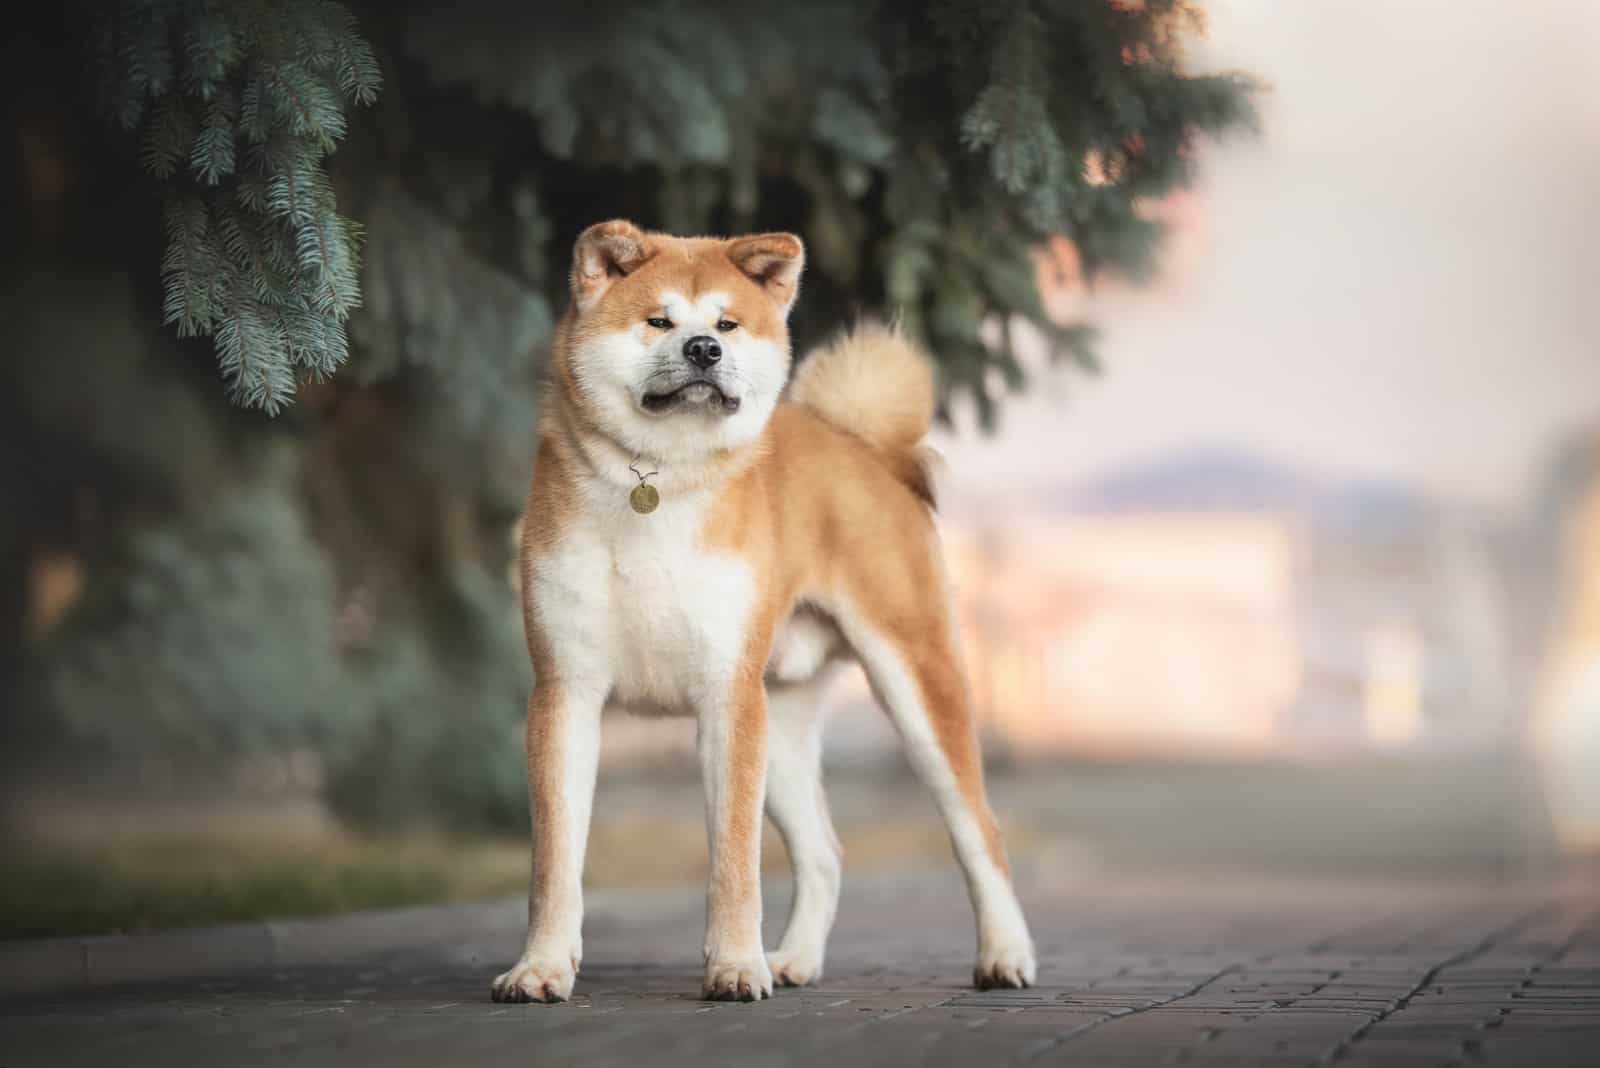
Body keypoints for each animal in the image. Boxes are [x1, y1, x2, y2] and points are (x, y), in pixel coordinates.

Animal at [489, 220, 1036, 1004]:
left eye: (726, 325)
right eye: (659, 320)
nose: (703, 351)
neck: (660, 479)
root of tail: (860, 447)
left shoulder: (728, 696)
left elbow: (734, 859)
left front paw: (734, 965)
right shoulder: (566, 692)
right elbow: (555, 862)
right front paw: (540, 966)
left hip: (915, 689)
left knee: (979, 833)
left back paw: (1005, 955)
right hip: (780, 721)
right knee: (826, 854)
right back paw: (797, 958)